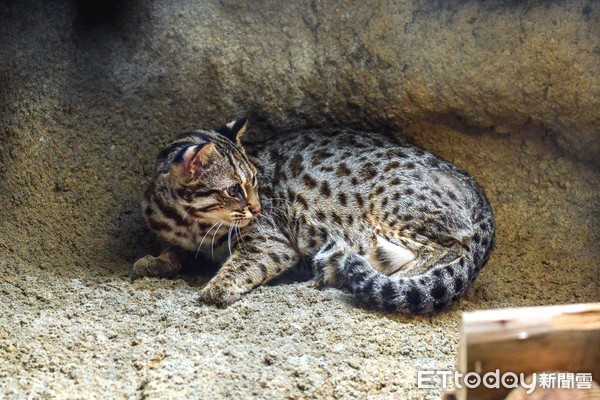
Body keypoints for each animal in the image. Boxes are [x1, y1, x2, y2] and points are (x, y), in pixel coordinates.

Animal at [136, 117, 496, 314]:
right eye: (234, 189)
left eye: (254, 181)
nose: (257, 207)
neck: (189, 221)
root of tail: (479, 194)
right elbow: (173, 251)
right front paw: (156, 260)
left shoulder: (271, 242)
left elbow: (243, 263)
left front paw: (217, 288)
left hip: (389, 205)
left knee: (450, 247)